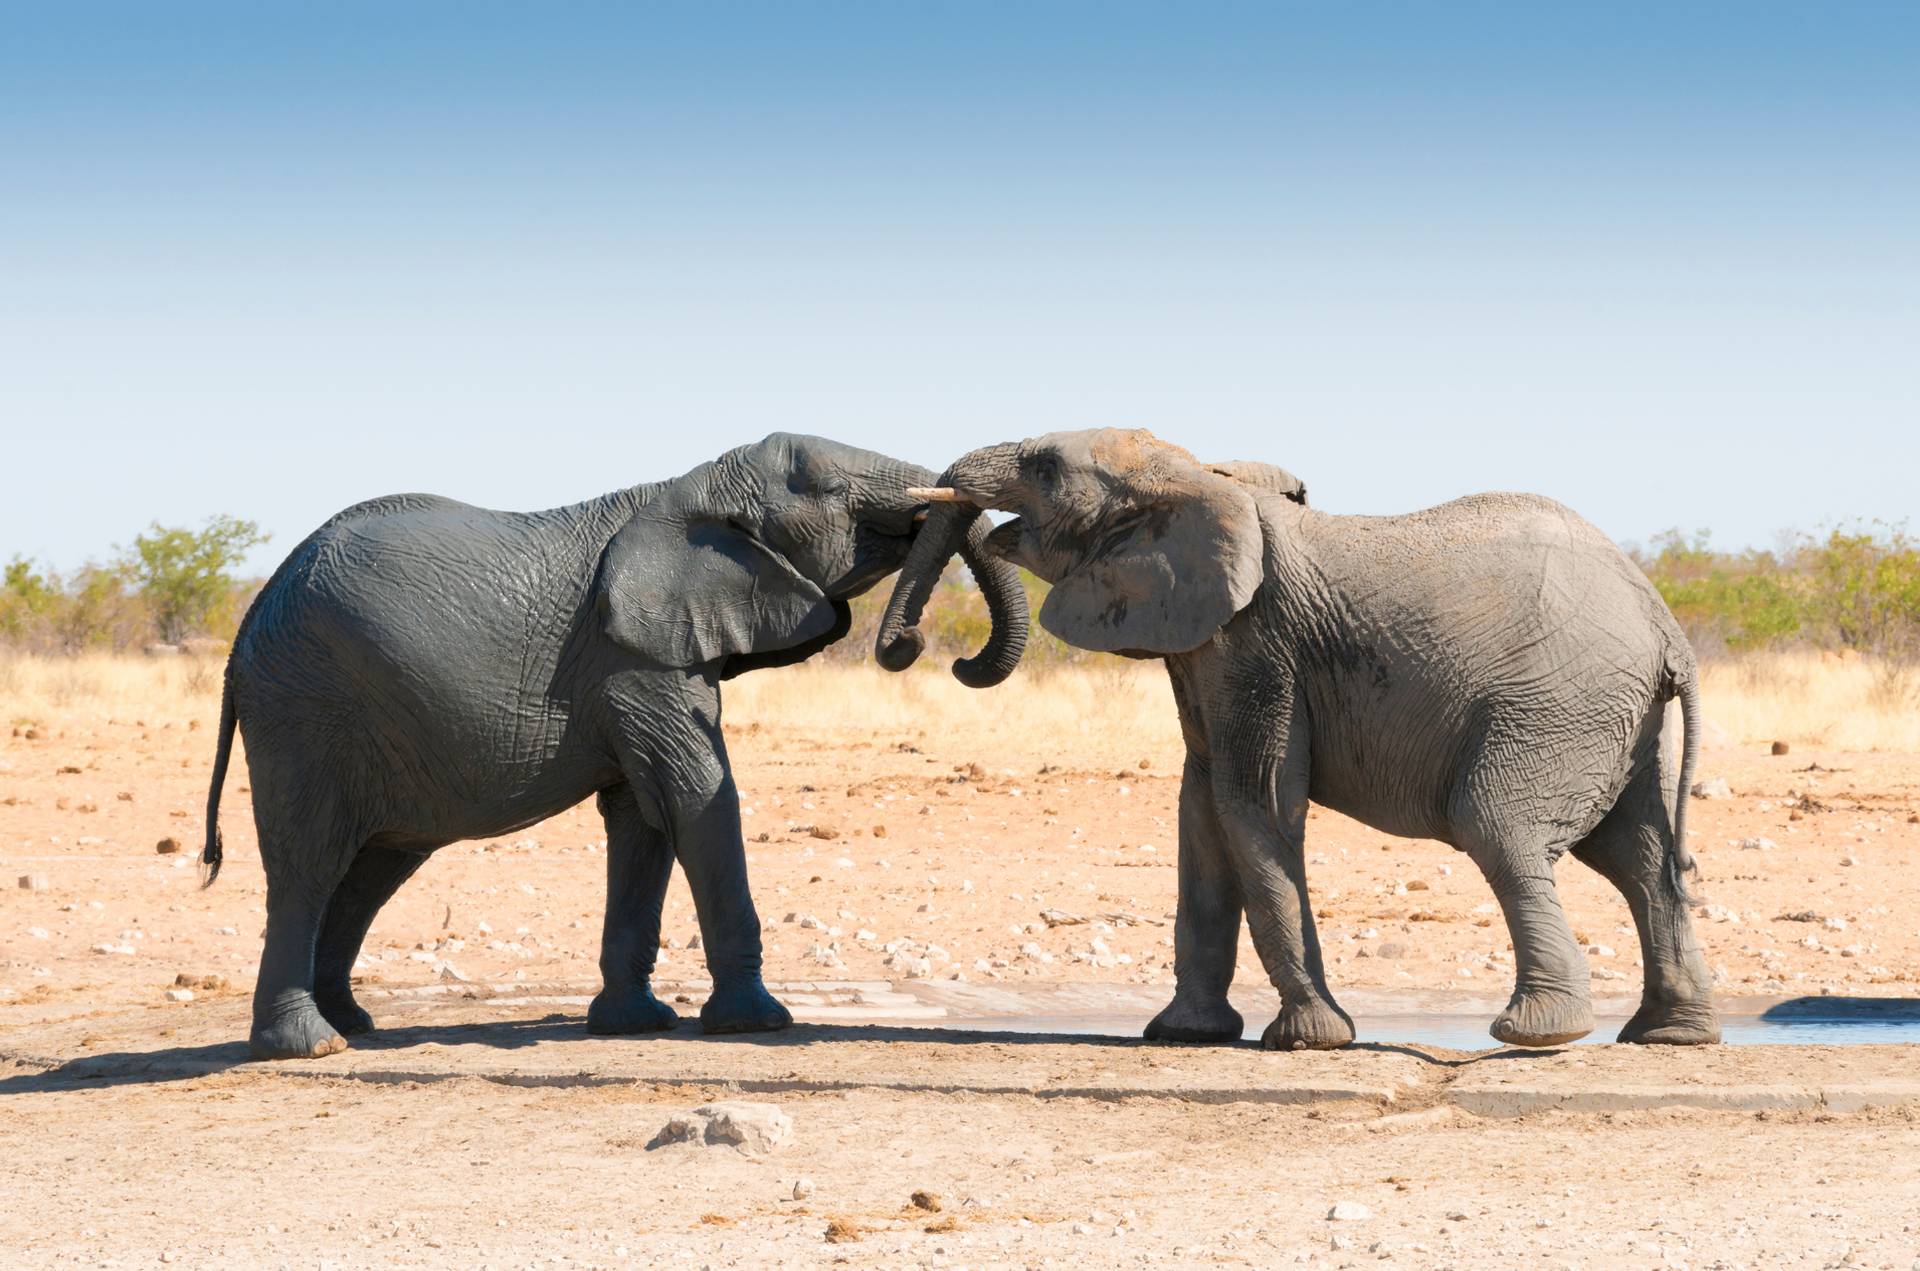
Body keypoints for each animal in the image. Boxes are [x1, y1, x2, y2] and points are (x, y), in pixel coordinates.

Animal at [203, 433, 1029, 1061]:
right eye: (828, 487)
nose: (921, 646)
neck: (684, 488)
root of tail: (247, 623)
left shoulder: (644, 660)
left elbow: (646, 818)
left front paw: (636, 1025)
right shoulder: (632, 657)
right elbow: (698, 796)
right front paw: (757, 1022)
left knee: (374, 868)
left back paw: (354, 1025)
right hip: (304, 707)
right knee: (310, 863)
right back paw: (309, 1045)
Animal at [876, 428, 1716, 1050]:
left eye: (1046, 467)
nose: (923, 649)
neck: (1194, 478)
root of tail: (1664, 621)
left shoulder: (1258, 644)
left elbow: (1251, 804)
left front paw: (1309, 1039)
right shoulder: (1206, 643)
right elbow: (1200, 816)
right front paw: (1185, 1035)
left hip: (1557, 703)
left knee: (1500, 827)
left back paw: (1536, 1033)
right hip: (1611, 716)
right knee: (1638, 857)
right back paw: (1667, 1035)